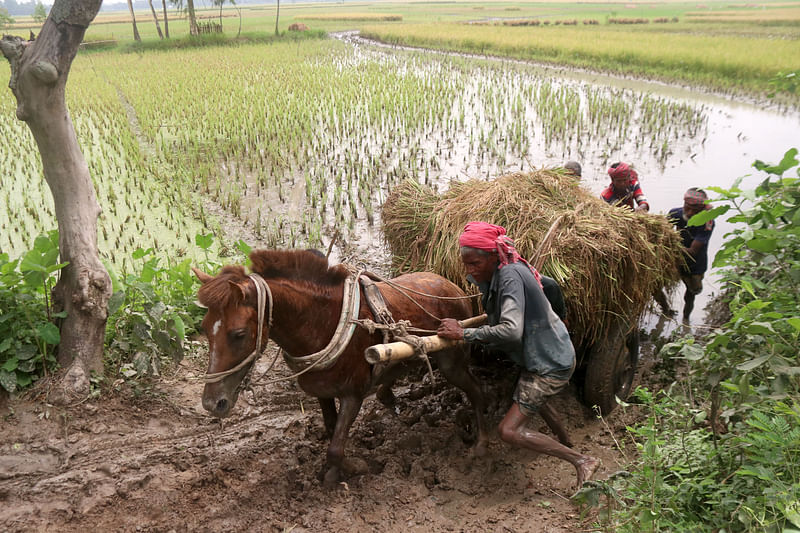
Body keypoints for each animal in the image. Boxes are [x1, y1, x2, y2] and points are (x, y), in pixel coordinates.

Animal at [193, 247, 490, 484]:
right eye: (204, 328)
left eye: (238, 334)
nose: (212, 403)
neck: (322, 321)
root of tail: (454, 287)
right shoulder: (322, 392)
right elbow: (331, 429)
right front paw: (333, 472)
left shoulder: (352, 394)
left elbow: (336, 448)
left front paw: (354, 468)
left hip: (452, 360)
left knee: (476, 390)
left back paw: (481, 442)